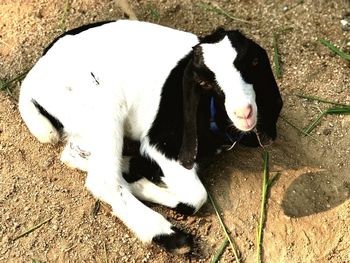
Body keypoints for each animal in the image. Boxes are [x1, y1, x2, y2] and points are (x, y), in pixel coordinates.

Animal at [18, 20, 282, 256]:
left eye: (254, 63)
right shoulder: (162, 143)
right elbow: (196, 197)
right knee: (102, 179)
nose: (244, 112)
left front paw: (140, 180)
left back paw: (133, 167)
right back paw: (169, 235)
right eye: (205, 81)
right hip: (103, 108)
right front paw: (141, 186)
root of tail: (30, 85)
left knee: (74, 153)